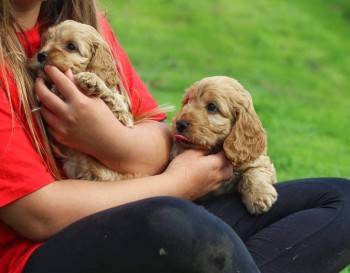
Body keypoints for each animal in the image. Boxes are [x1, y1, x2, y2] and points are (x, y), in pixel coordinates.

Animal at [30, 19, 137, 181]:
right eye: (46, 41)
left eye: (71, 46)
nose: (41, 55)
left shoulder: (123, 119)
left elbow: (112, 97)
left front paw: (92, 79)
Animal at [171, 75, 278, 214]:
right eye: (187, 101)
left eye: (212, 107)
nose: (179, 124)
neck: (217, 148)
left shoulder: (257, 160)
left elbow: (253, 173)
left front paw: (259, 196)